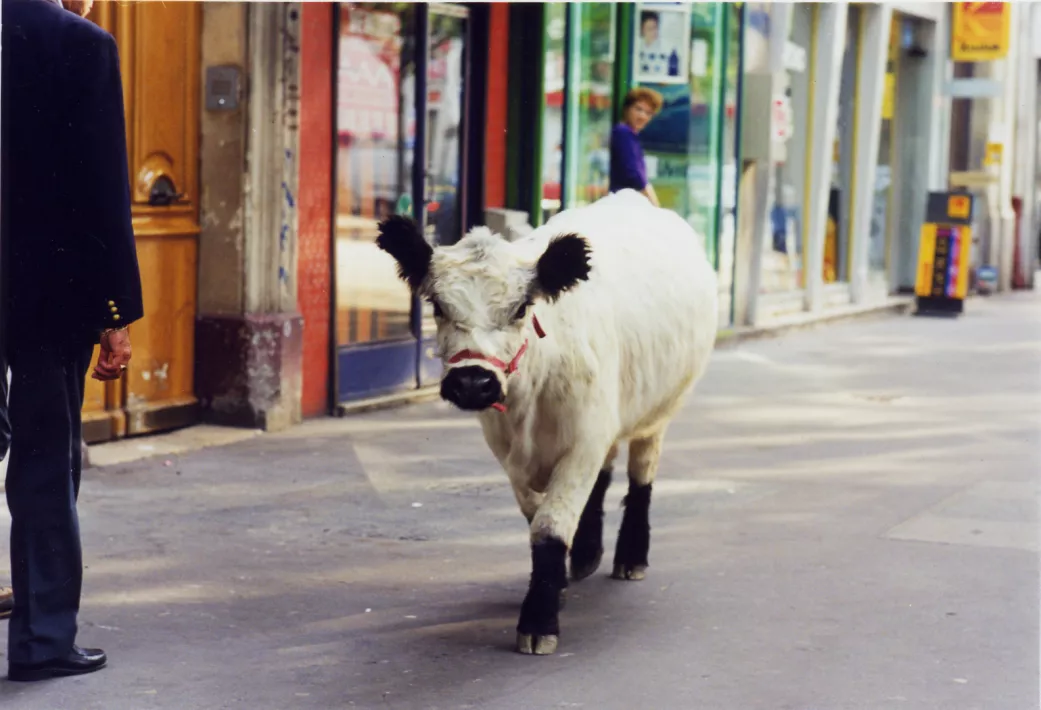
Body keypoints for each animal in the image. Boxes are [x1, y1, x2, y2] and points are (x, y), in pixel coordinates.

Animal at [375, 188, 718, 655]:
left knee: (641, 474)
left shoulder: (583, 441)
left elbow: (551, 526)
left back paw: (631, 556)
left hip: (659, 411)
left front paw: (539, 619)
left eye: (521, 308)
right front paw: (557, 584)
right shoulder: (512, 453)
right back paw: (588, 554)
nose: (472, 382)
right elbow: (536, 516)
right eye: (438, 306)